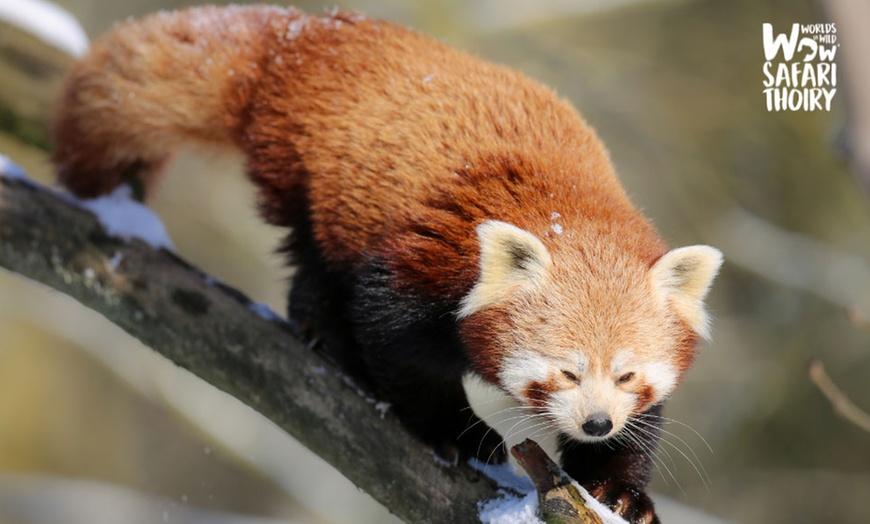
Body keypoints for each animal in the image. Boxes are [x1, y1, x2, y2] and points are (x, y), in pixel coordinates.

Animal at [51, 5, 724, 524]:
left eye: (627, 375)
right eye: (564, 371)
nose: (596, 423)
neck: (562, 205)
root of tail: (307, 33)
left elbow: (644, 429)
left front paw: (619, 488)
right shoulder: (421, 261)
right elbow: (397, 343)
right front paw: (452, 431)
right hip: (316, 175)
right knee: (316, 264)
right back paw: (326, 334)